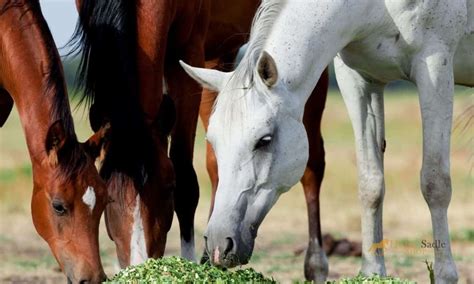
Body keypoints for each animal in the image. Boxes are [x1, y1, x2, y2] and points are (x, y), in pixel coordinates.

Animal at [181, 0, 470, 282]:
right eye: (213, 142)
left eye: (264, 140)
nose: (219, 245)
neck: (377, 7)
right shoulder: (358, 80)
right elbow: (371, 184)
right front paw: (372, 272)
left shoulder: (435, 68)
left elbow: (435, 184)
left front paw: (445, 275)